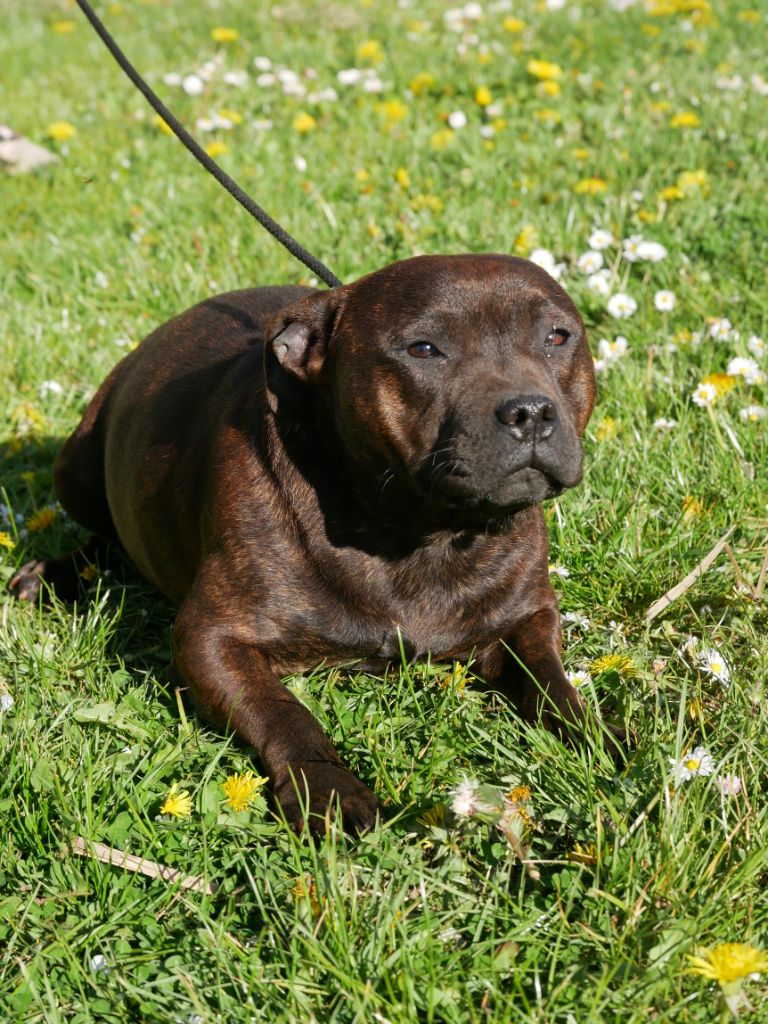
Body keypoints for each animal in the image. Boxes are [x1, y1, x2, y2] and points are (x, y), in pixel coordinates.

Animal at [10, 253, 614, 831]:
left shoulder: (526, 620)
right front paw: (329, 789)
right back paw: (49, 578)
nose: (529, 410)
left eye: (558, 337)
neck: (419, 533)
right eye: (424, 348)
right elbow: (281, 711)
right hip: (78, 472)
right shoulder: (211, 636)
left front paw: (605, 747)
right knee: (103, 538)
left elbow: (554, 688)